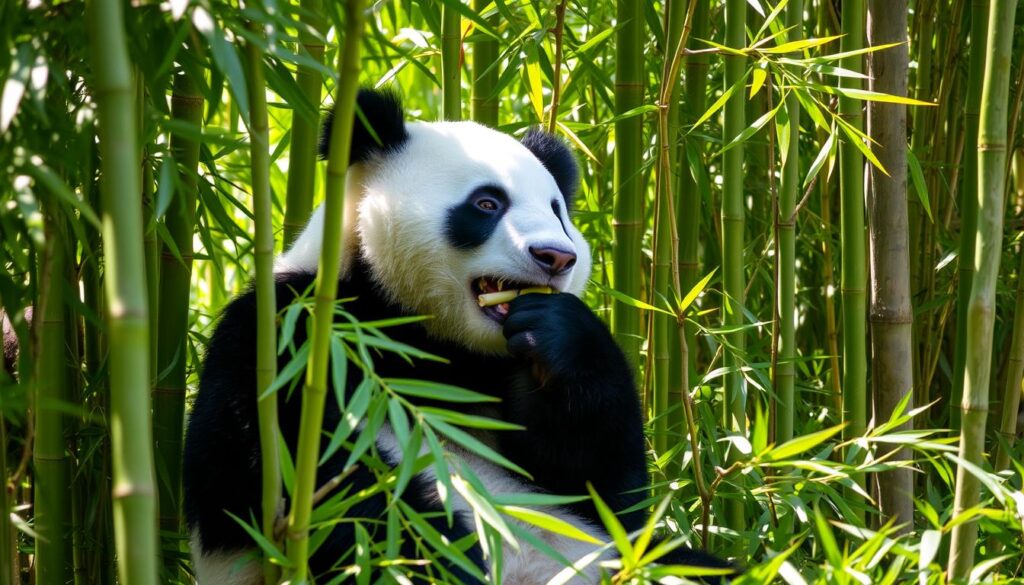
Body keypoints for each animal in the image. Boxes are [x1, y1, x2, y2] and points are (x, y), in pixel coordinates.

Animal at [182, 89, 729, 581]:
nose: (556, 256)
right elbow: (323, 484)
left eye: (557, 210)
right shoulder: (290, 337)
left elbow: (605, 493)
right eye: (487, 203)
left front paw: (556, 331)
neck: (430, 338)